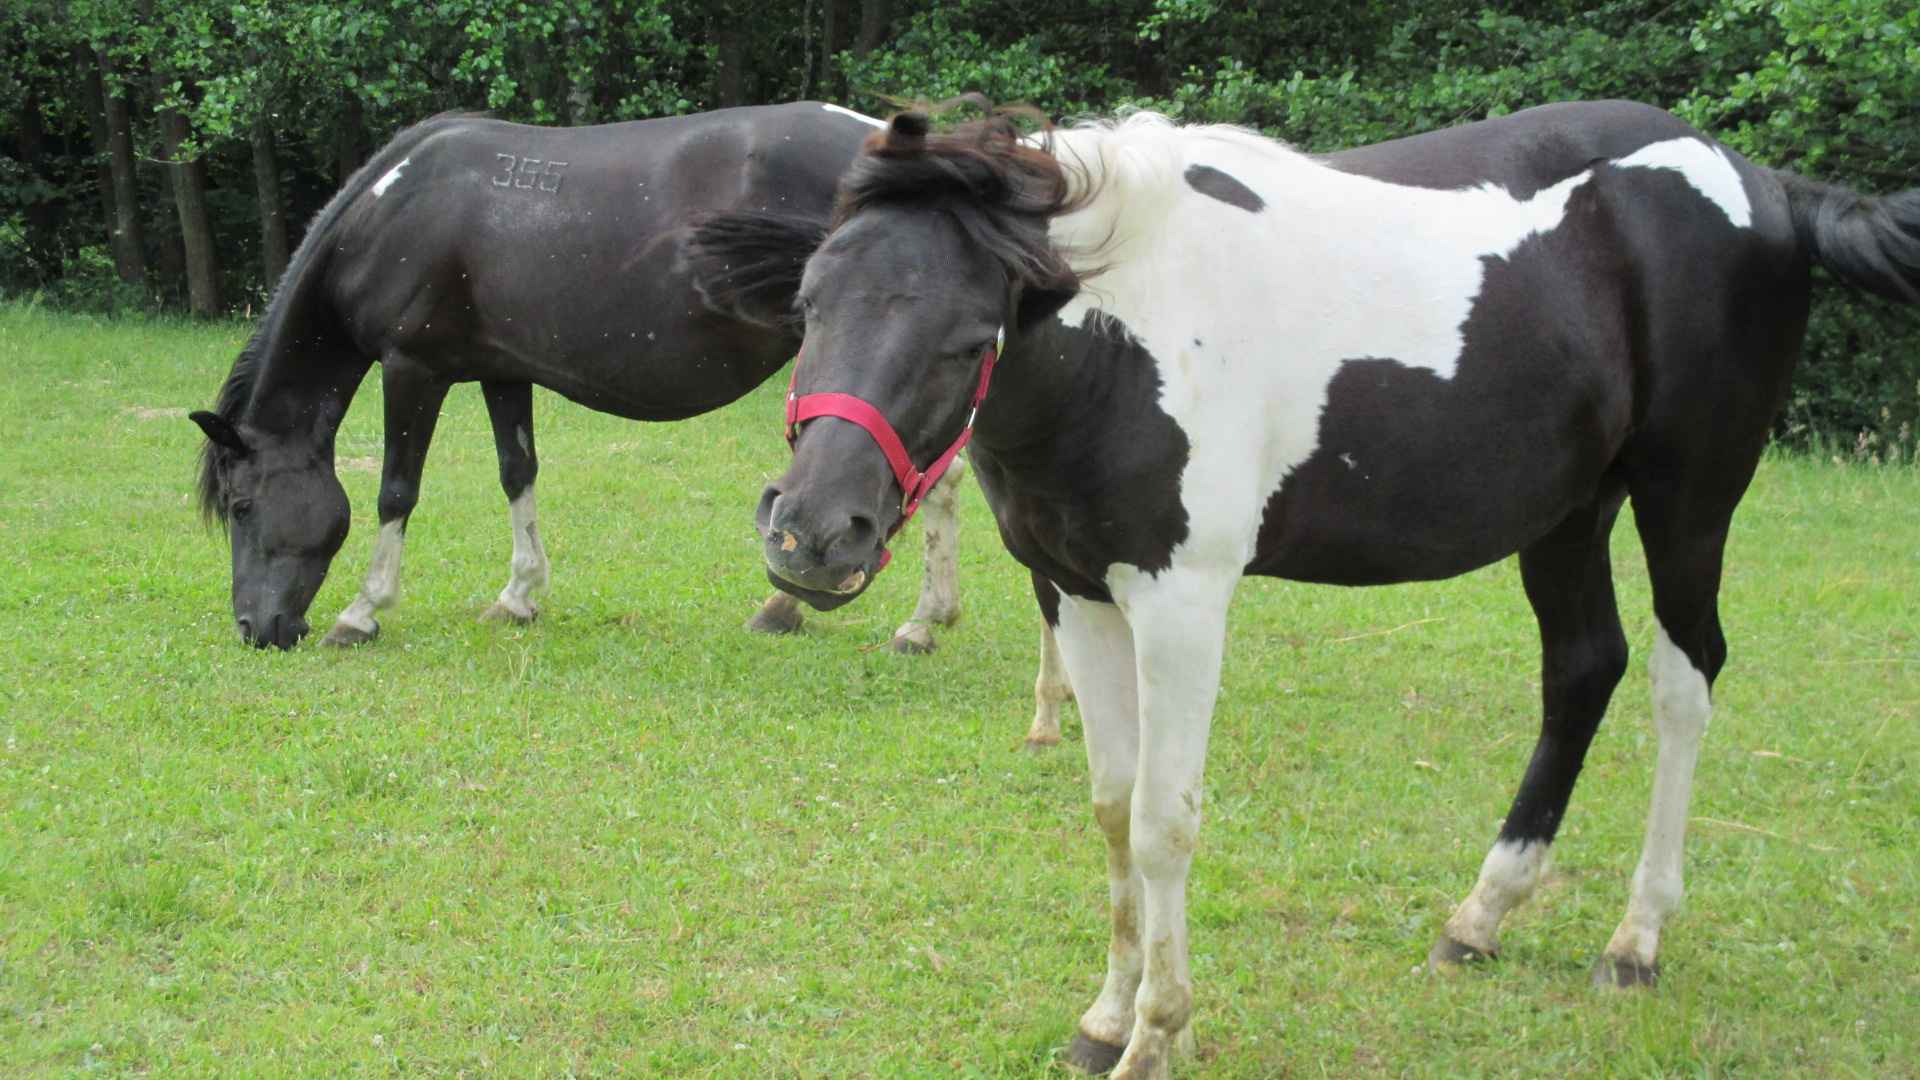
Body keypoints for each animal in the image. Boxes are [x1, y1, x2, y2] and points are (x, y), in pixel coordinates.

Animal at [191, 105, 990, 653]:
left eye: (240, 506)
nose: (257, 627)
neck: (395, 210)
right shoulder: (500, 372)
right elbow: (517, 473)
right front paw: (519, 596)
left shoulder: (412, 370)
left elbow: (396, 491)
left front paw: (362, 612)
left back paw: (869, 616)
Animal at [698, 102, 1920, 1076]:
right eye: (809, 306)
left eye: (963, 340)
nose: (813, 537)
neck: (1125, 329)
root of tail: (1764, 186)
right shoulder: (1079, 593)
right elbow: (1111, 808)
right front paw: (1105, 1019)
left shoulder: (1181, 602)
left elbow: (1165, 821)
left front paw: (1158, 1036)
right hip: (1569, 512)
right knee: (1582, 671)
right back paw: (1481, 915)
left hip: (1686, 500)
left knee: (1682, 682)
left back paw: (1637, 938)